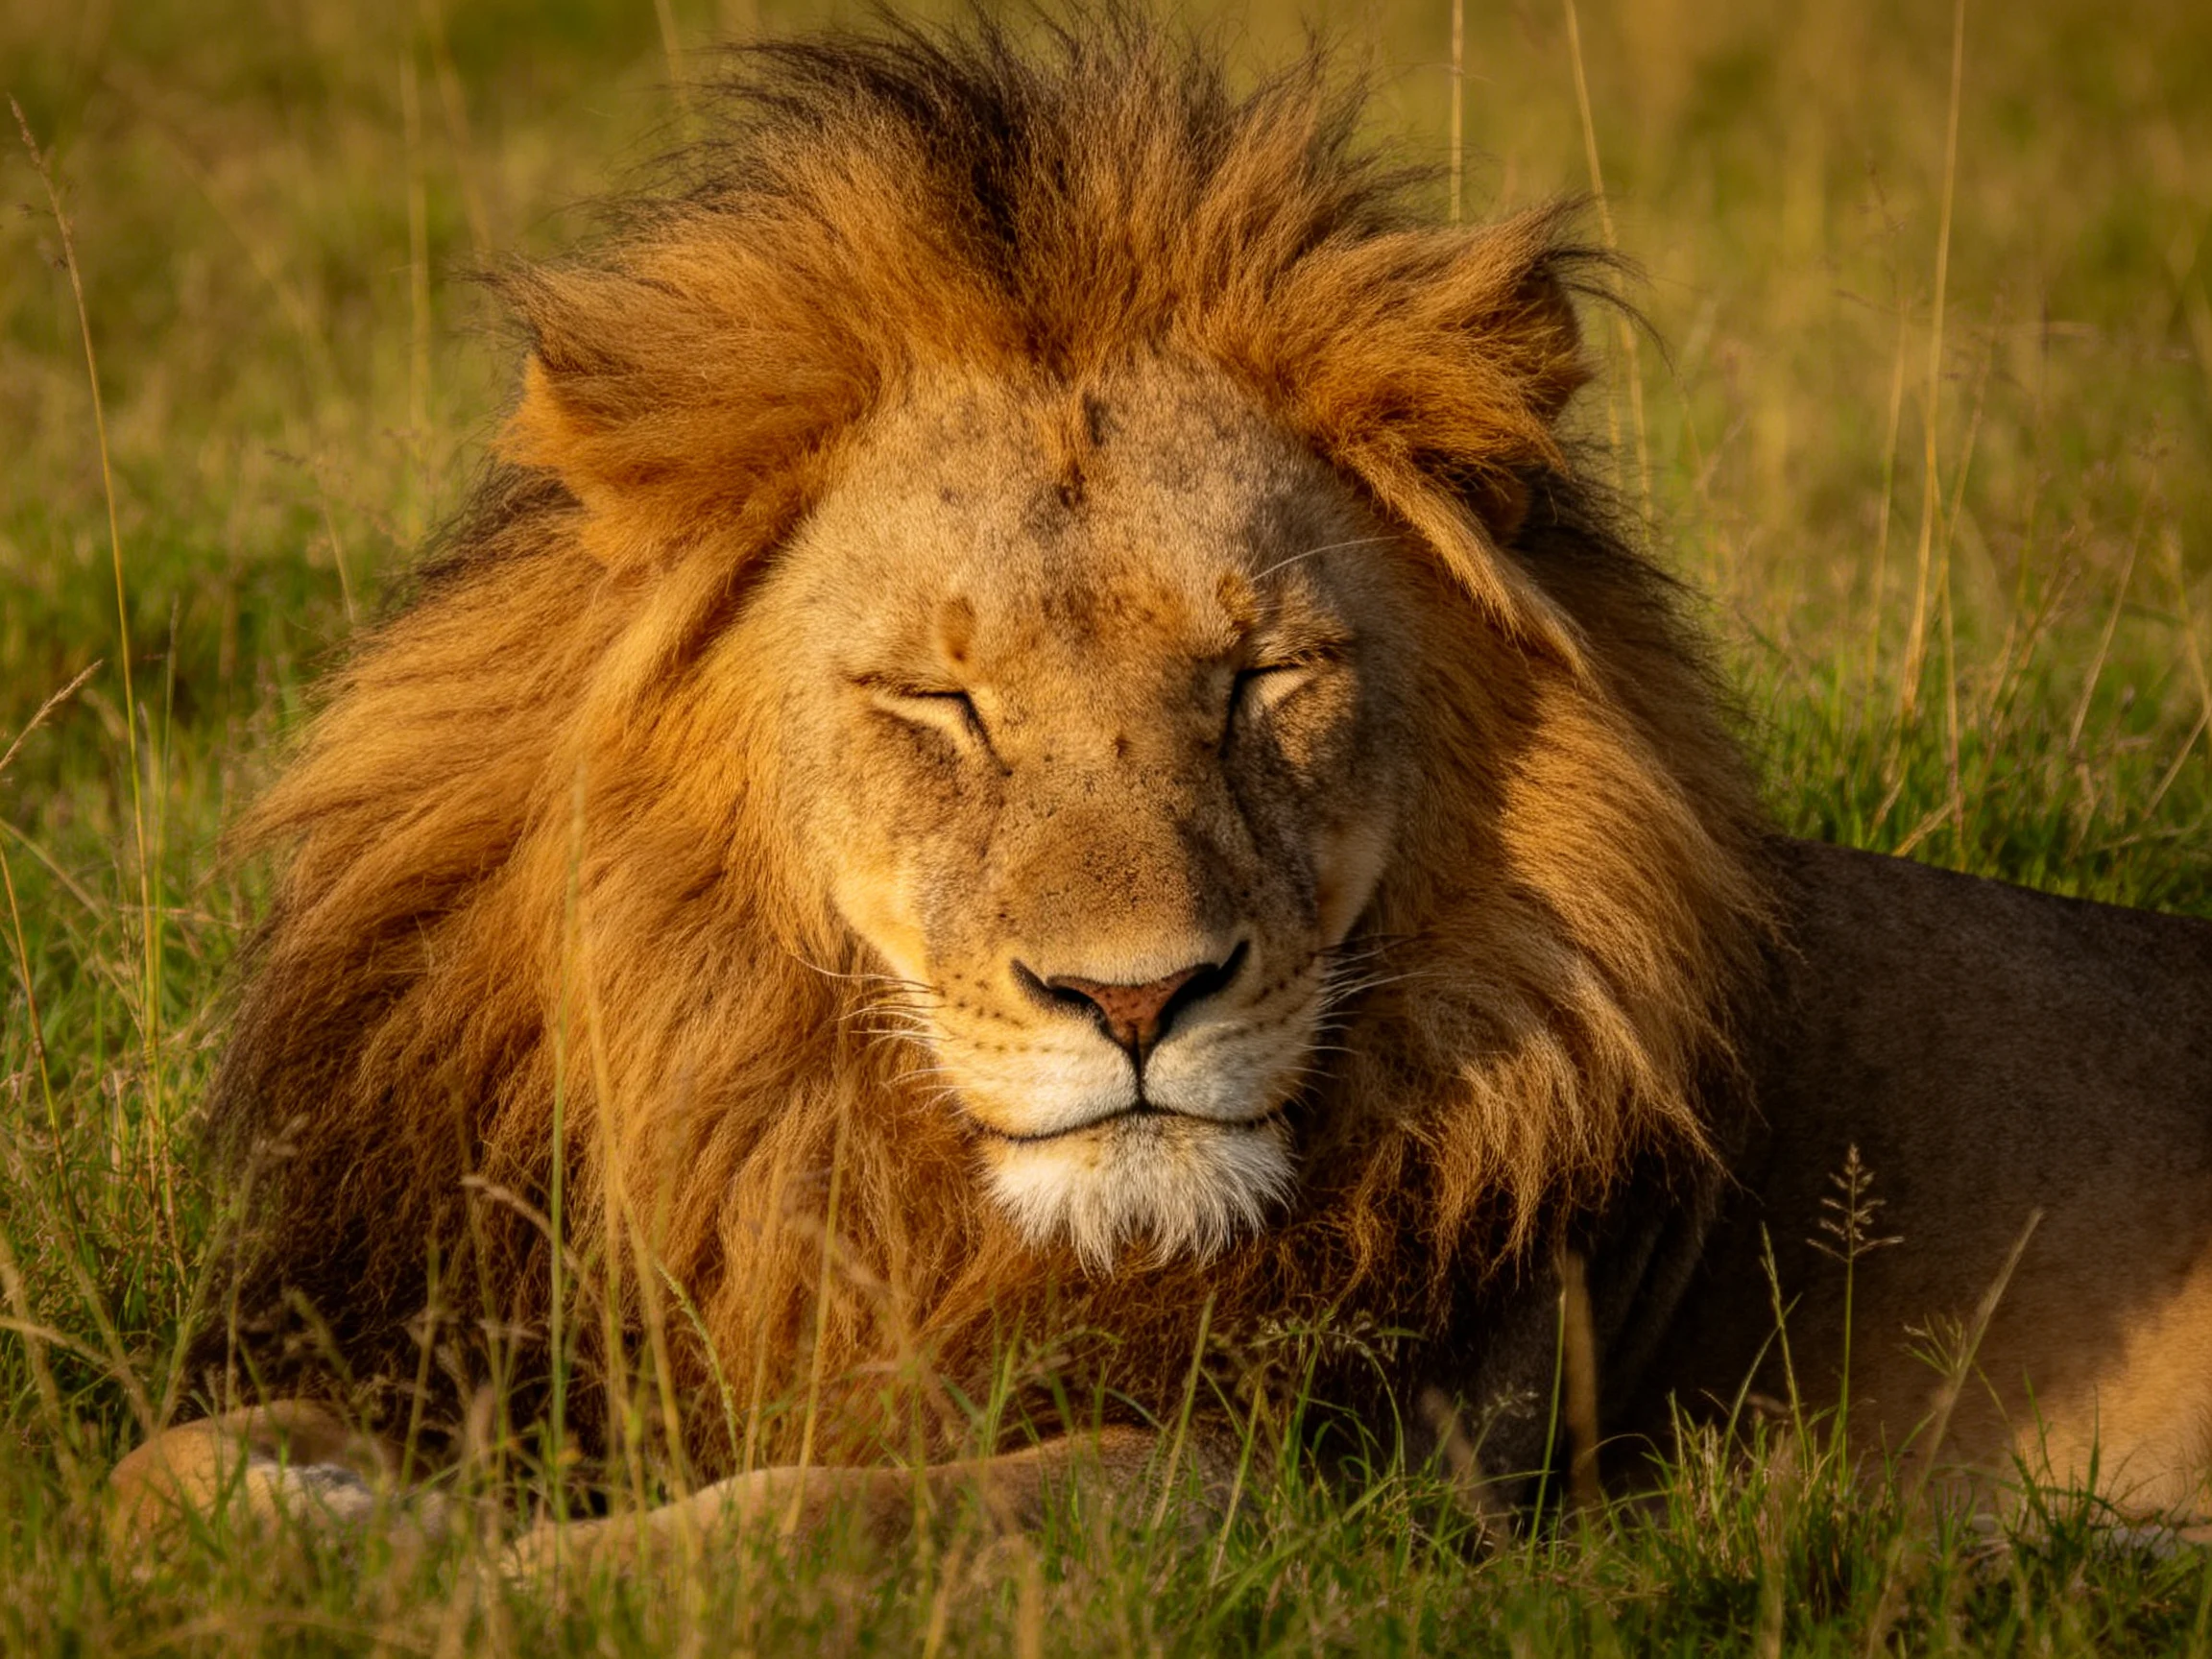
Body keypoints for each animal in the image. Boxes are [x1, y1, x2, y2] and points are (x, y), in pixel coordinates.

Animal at [111, 13, 2212, 1568]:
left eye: (1261, 676)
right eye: (942, 701)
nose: (1136, 1001)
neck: (843, 1153)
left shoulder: (1319, 1484)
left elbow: (824, 1519)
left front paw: (518, 1577)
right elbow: (158, 1466)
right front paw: (309, 1522)